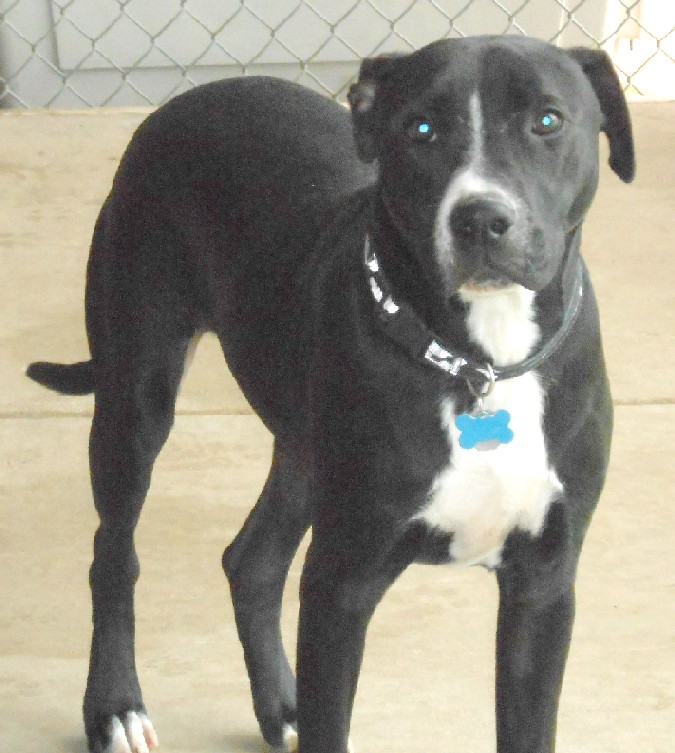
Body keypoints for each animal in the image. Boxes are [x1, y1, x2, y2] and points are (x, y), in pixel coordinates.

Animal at [29, 33, 632, 752]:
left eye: (547, 120)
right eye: (420, 129)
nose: (481, 219)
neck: (476, 362)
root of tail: (188, 99)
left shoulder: (542, 585)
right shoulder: (343, 582)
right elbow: (330, 722)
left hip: (303, 446)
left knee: (252, 561)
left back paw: (278, 706)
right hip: (136, 397)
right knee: (113, 556)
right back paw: (115, 707)